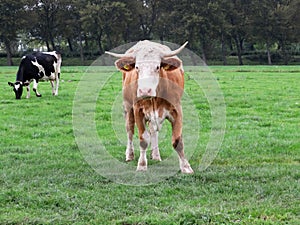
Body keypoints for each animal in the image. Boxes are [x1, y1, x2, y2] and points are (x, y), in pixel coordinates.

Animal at [106, 40, 193, 174]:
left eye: (157, 67)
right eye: (137, 67)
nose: (144, 91)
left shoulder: (177, 109)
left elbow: (177, 141)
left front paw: (186, 167)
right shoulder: (138, 110)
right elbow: (143, 140)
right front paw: (142, 165)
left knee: (153, 131)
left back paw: (156, 155)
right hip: (127, 106)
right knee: (129, 130)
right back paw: (129, 155)